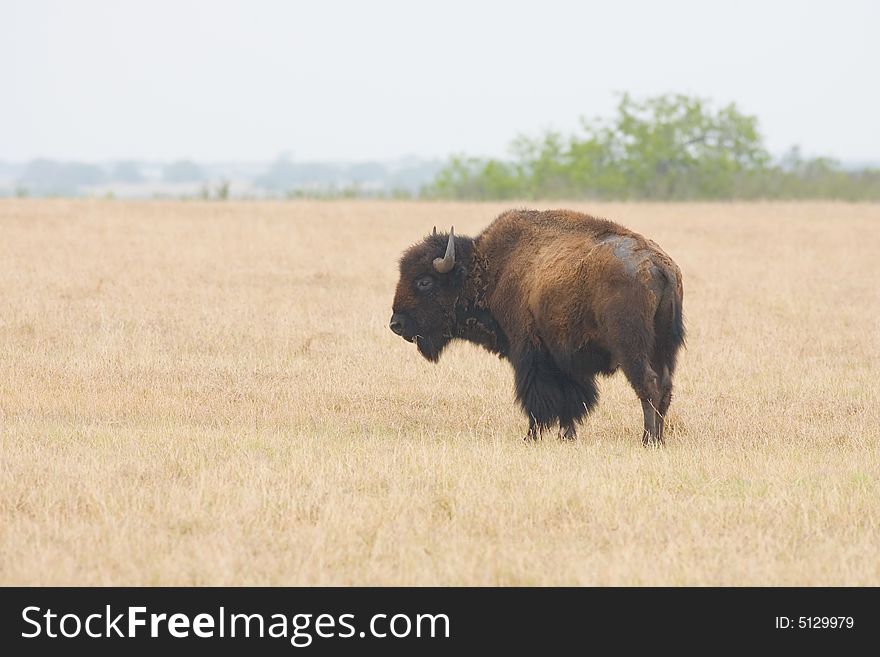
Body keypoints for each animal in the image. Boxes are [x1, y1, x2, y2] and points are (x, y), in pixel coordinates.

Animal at [388, 209, 684, 446]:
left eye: (424, 281)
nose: (396, 324)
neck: (491, 269)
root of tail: (658, 265)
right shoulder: (564, 359)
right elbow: (570, 398)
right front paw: (566, 436)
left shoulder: (529, 352)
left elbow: (537, 397)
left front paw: (531, 437)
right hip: (664, 348)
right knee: (665, 387)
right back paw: (659, 439)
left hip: (632, 348)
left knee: (648, 385)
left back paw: (648, 440)